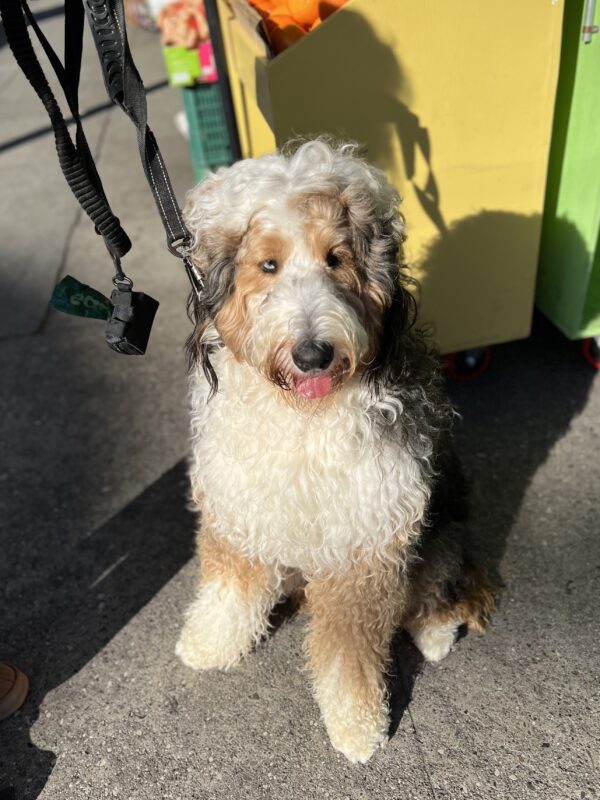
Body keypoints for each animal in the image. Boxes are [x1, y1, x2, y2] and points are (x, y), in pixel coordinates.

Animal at [175, 142, 496, 764]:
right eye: (268, 265)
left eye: (336, 258)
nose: (313, 354)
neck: (303, 416)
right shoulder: (240, 503)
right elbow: (232, 587)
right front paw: (209, 643)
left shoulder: (364, 541)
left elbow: (350, 652)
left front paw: (356, 724)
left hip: (436, 530)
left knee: (437, 586)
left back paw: (436, 632)